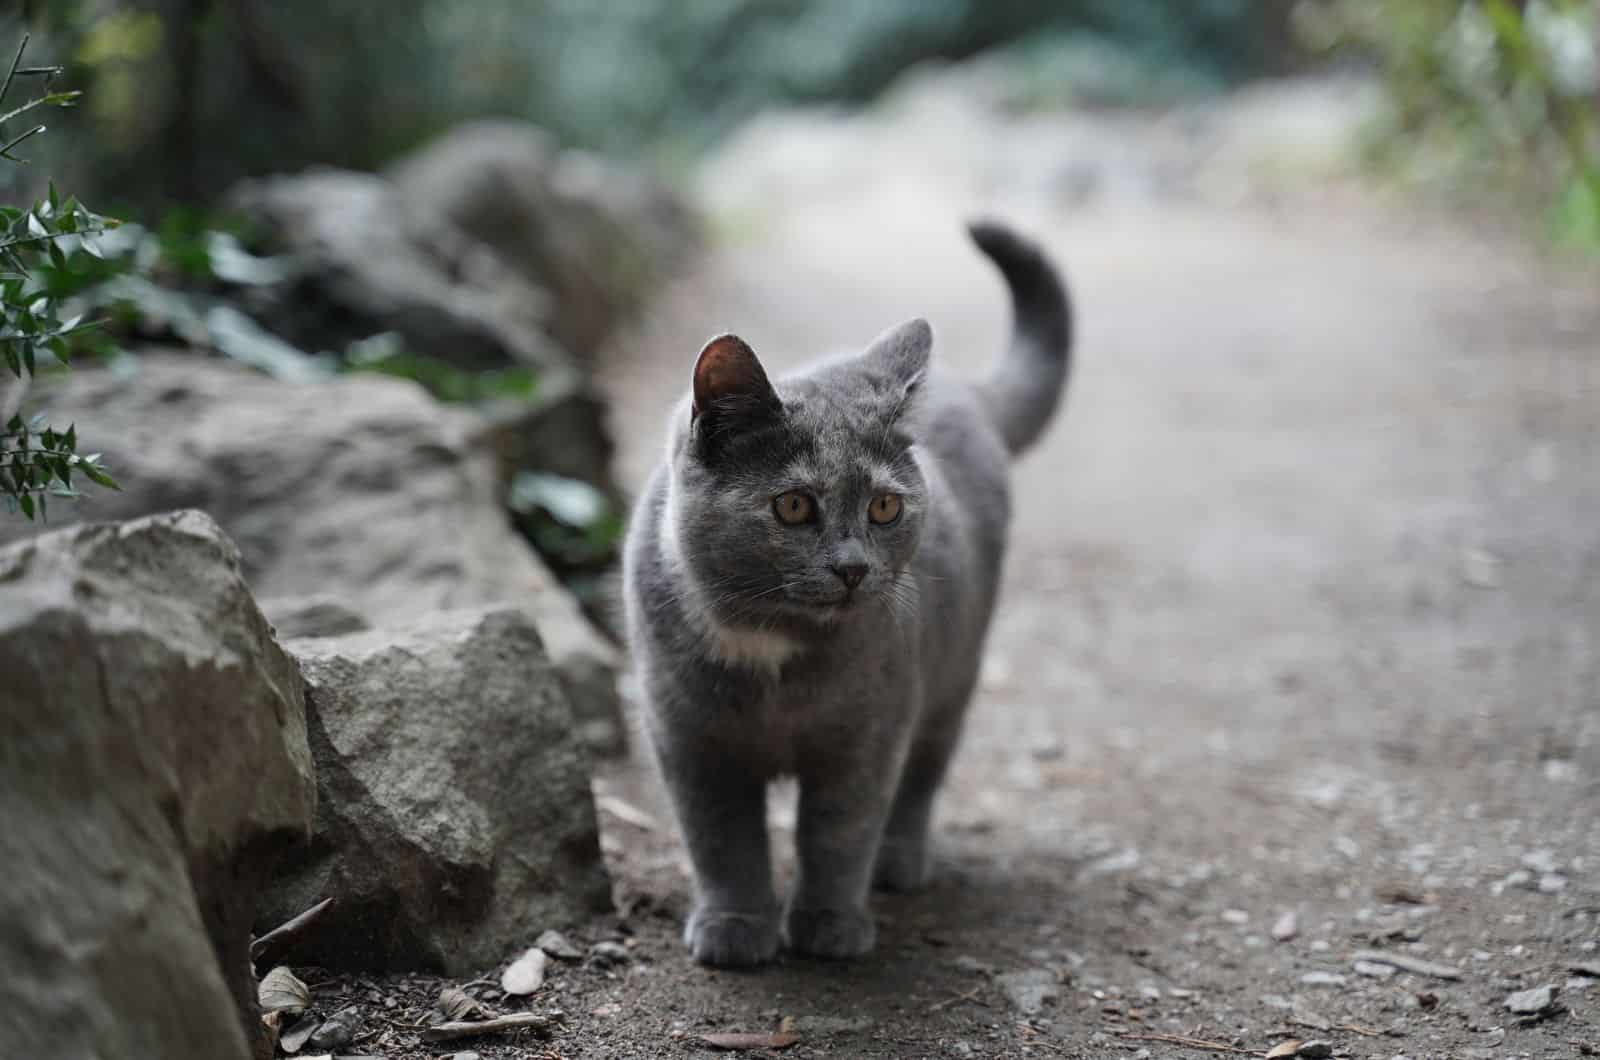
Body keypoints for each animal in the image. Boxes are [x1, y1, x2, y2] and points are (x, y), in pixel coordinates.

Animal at [624, 219, 1075, 967]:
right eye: (795, 507)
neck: (772, 649)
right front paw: (735, 926)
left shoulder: (869, 732)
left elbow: (839, 832)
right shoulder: (687, 737)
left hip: (951, 675)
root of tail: (965, 389)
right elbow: (721, 840)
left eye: (885, 508)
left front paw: (829, 923)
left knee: (921, 778)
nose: (853, 567)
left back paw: (898, 863)